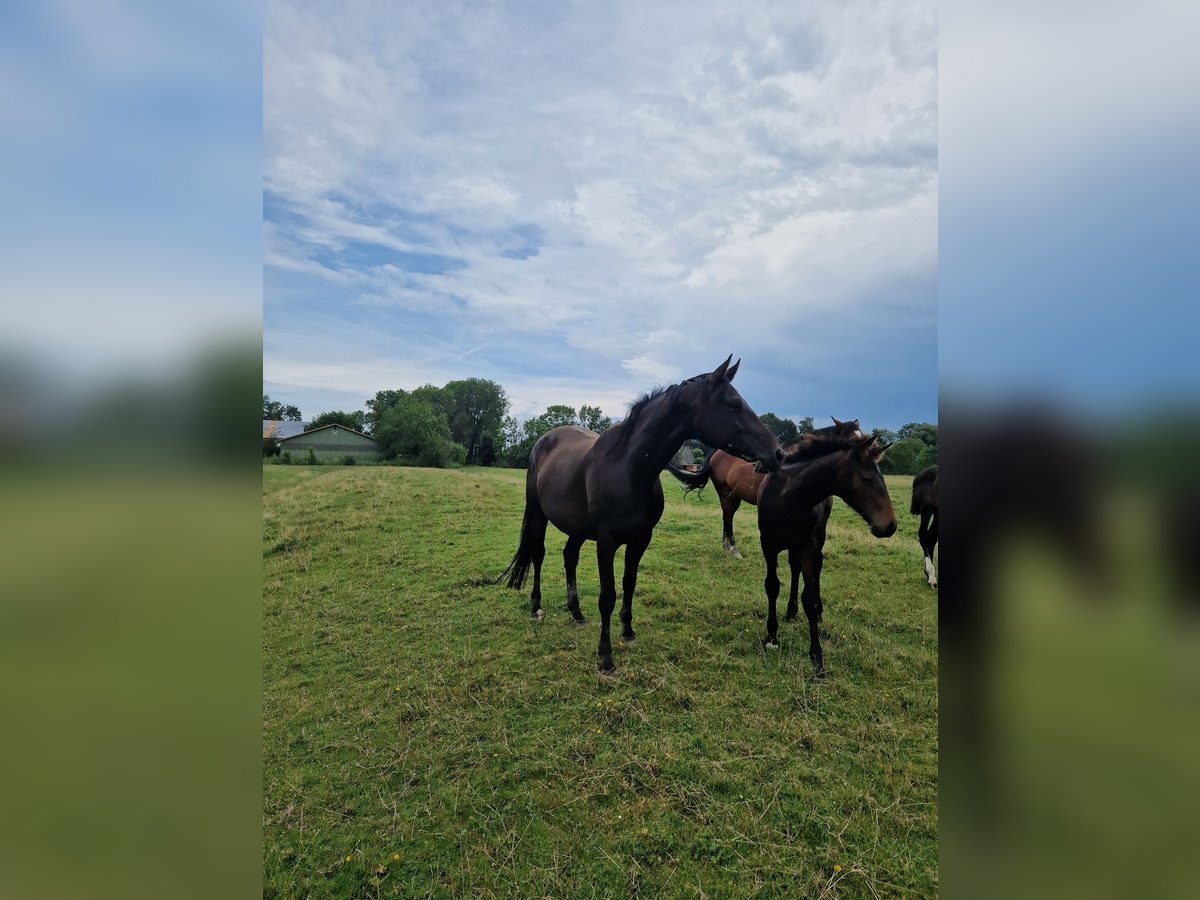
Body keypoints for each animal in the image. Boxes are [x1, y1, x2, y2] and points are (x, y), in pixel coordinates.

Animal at [501, 355, 782, 672]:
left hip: (577, 528)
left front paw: (628, 633)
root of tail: (545, 439)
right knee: (537, 554)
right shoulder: (606, 542)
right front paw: (605, 657)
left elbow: (629, 584)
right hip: (538, 514)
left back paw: (576, 613)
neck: (629, 467)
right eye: (734, 404)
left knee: (569, 556)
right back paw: (536, 608)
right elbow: (608, 596)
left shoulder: (640, 539)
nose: (778, 453)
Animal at [753, 429, 897, 676]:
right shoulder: (768, 545)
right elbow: (772, 586)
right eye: (867, 479)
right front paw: (771, 637)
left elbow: (809, 597)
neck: (788, 496)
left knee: (816, 569)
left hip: (818, 538)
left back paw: (816, 613)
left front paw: (817, 660)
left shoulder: (808, 546)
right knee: (794, 569)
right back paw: (791, 612)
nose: (889, 526)